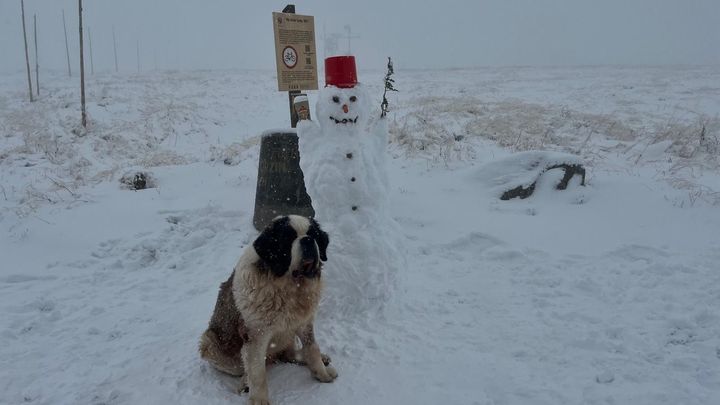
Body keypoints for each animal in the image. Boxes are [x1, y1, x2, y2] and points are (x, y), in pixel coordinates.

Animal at [197, 213, 338, 402]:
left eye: (313, 234)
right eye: (288, 238)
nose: (307, 240)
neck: (290, 289)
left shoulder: (304, 322)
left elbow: (312, 348)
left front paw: (322, 374)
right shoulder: (256, 336)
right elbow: (258, 373)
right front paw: (259, 401)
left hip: (288, 335)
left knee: (288, 354)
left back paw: (318, 358)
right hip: (209, 342)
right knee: (248, 367)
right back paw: (245, 383)